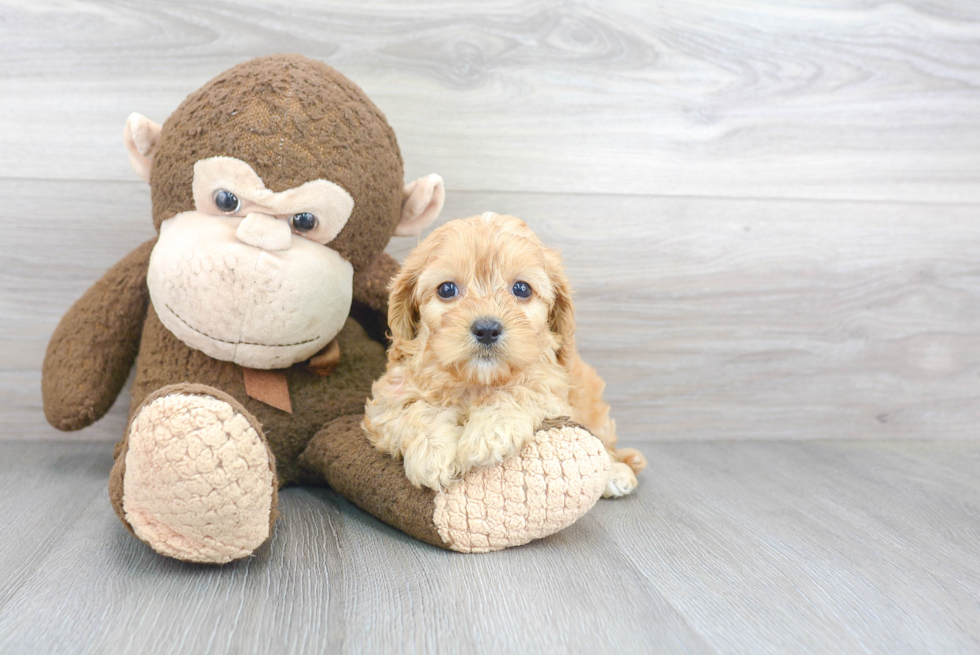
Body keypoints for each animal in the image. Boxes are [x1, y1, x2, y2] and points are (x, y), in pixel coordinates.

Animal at [364, 215, 648, 498]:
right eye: (446, 289)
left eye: (521, 289)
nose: (487, 329)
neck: (477, 382)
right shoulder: (385, 402)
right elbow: (413, 410)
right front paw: (432, 452)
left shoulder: (552, 388)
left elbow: (522, 390)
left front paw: (490, 431)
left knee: (607, 446)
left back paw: (617, 473)